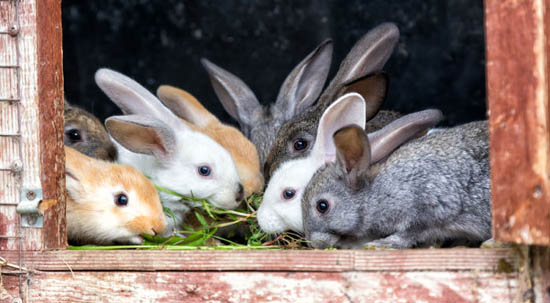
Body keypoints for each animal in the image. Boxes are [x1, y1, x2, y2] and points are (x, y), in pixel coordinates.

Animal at [302, 120, 492, 251]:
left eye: (322, 206)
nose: (313, 244)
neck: (375, 193)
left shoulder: (426, 209)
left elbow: (408, 234)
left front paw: (382, 244)